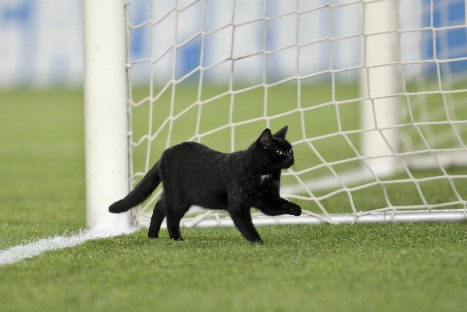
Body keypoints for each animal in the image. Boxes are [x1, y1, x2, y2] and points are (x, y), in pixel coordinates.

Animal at [108, 125, 302, 243]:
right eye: (279, 151)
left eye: (291, 150)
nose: (291, 158)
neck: (263, 174)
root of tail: (166, 152)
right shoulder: (238, 205)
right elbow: (247, 225)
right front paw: (257, 242)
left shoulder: (267, 200)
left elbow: (281, 204)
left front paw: (297, 210)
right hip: (179, 198)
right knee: (171, 218)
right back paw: (177, 239)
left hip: (174, 195)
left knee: (159, 207)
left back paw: (153, 236)